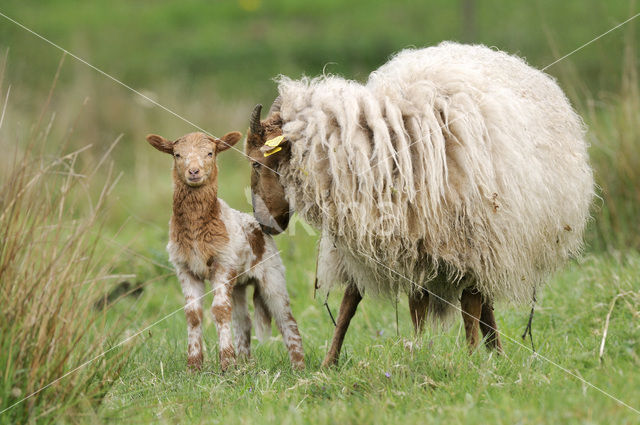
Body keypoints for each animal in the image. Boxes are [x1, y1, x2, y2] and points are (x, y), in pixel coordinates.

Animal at [148, 131, 304, 370]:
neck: (197, 229)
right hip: (239, 283)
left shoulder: (223, 262)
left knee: (285, 318)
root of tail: (259, 226)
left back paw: (298, 367)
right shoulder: (184, 267)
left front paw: (227, 364)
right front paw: (194, 366)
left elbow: (220, 311)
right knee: (243, 320)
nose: (194, 172)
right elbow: (193, 314)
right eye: (177, 154)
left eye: (210, 153)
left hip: (272, 272)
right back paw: (246, 362)